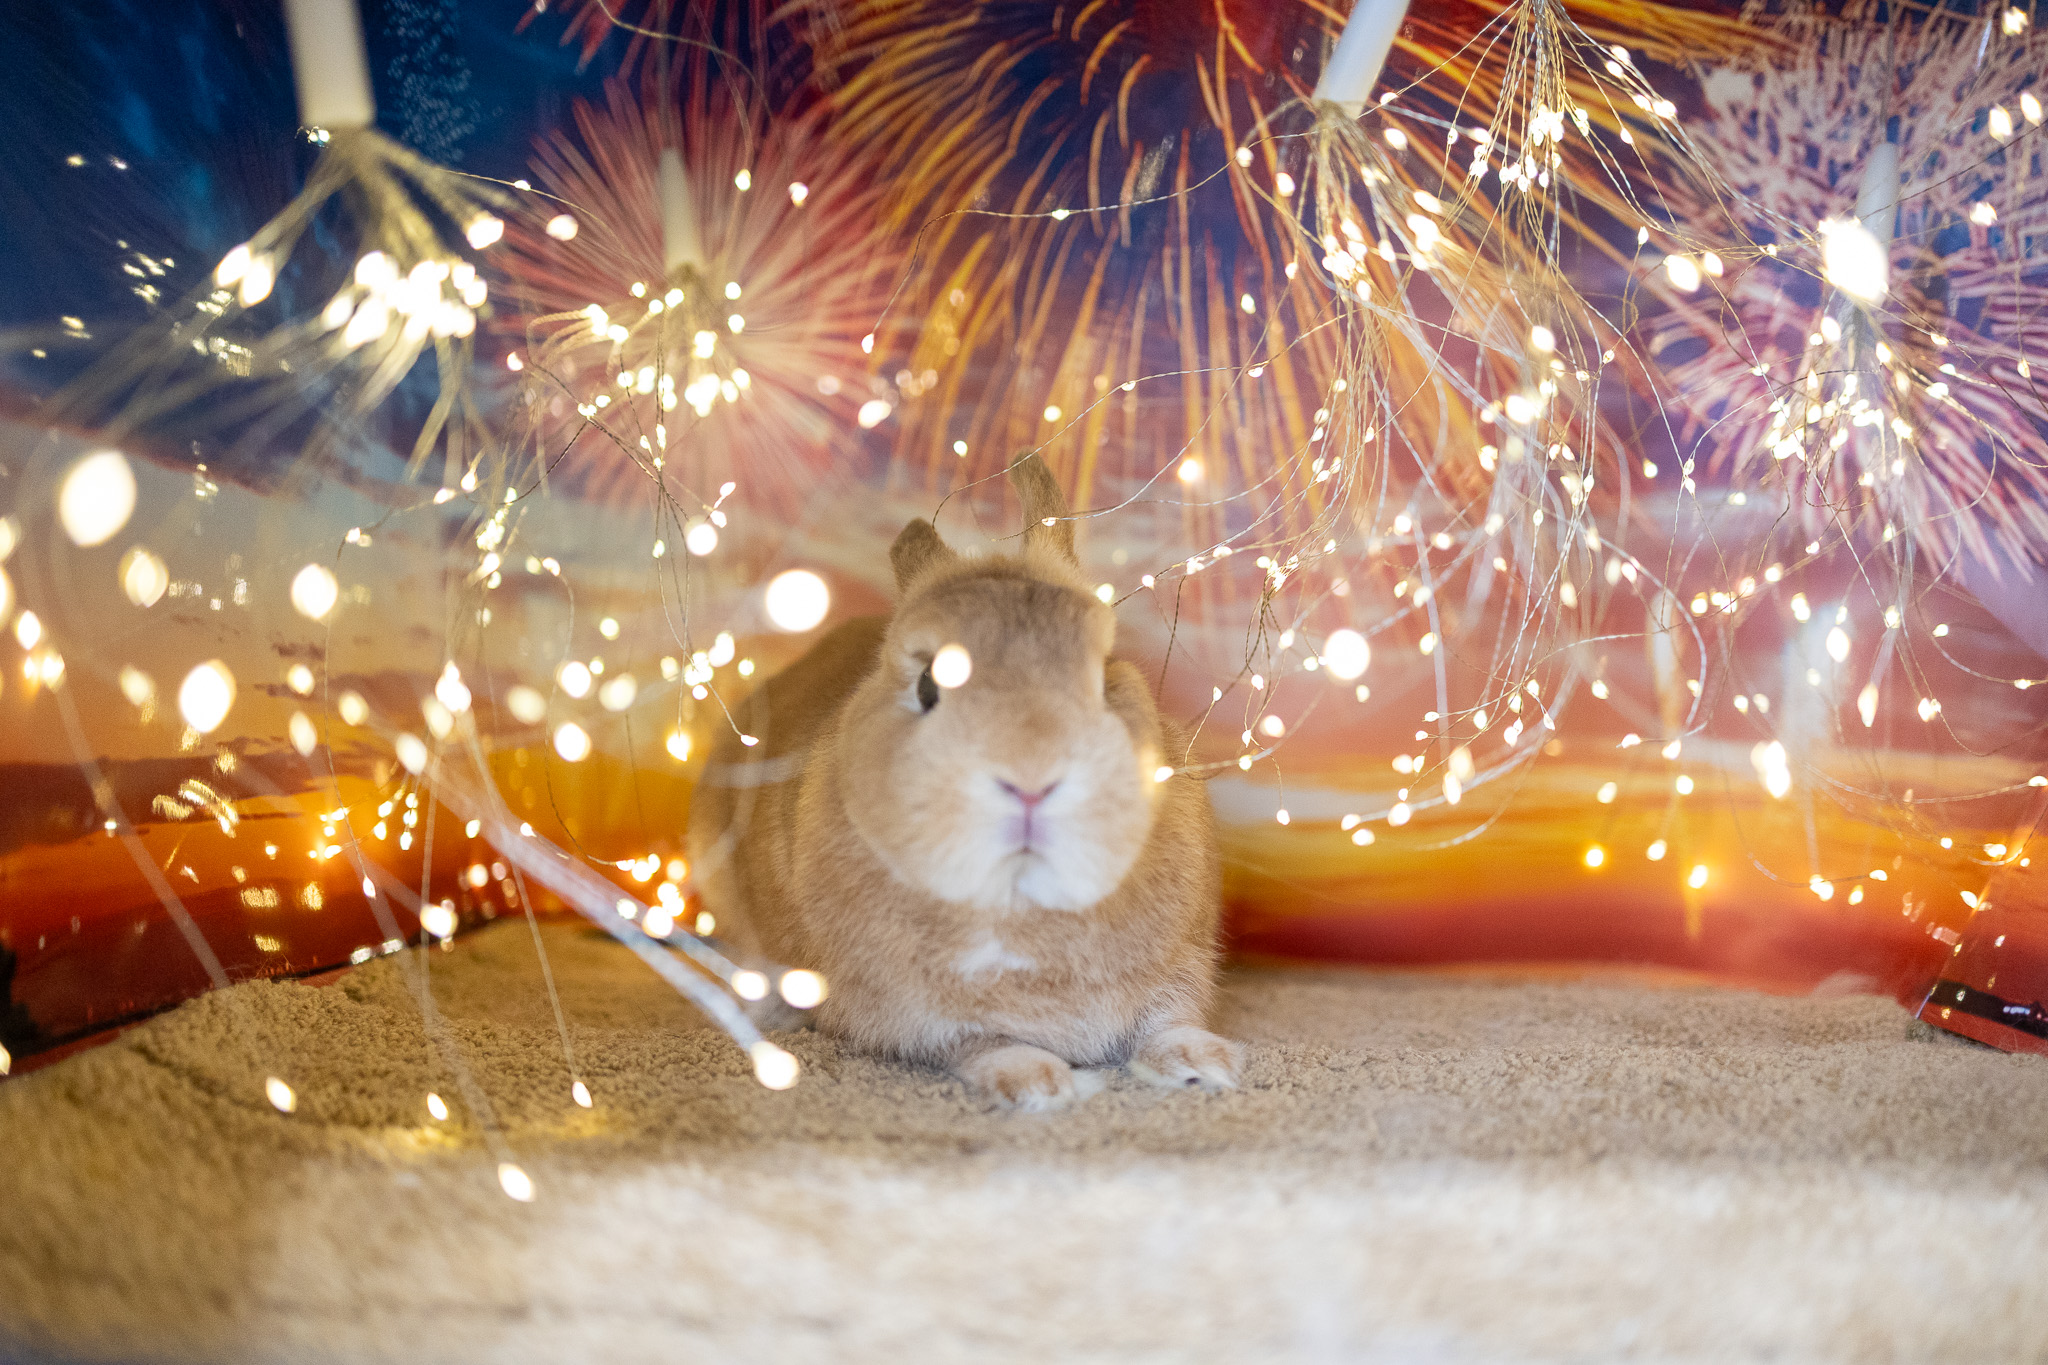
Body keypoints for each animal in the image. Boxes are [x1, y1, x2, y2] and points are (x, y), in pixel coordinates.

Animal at [686, 454, 1241, 1110]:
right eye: (929, 685)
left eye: (1103, 673)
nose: (1031, 781)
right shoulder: (907, 1015)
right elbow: (982, 1044)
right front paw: (1041, 1086)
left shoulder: (1180, 966)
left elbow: (1167, 1022)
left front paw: (1205, 1067)